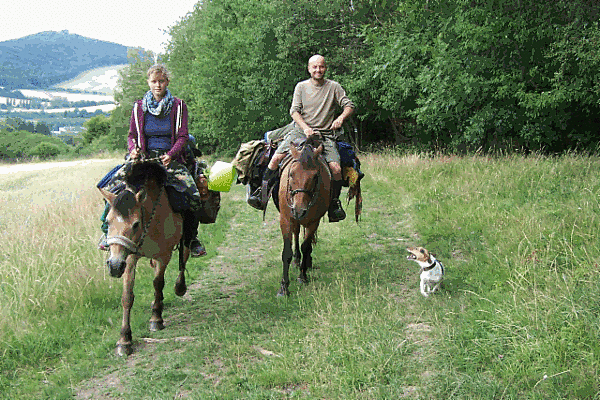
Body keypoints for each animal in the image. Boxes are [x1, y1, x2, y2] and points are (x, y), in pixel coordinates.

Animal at [98, 162, 190, 356]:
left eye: (135, 224)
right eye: (107, 222)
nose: (114, 266)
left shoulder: (164, 256)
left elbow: (157, 284)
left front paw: (156, 318)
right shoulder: (129, 257)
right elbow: (127, 296)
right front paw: (124, 339)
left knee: (184, 257)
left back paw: (179, 287)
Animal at [278, 138, 332, 296]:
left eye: (315, 176)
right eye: (291, 174)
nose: (299, 210)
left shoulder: (314, 222)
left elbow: (306, 247)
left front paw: (303, 276)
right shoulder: (285, 220)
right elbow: (287, 252)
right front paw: (284, 287)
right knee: (296, 234)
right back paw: (297, 260)